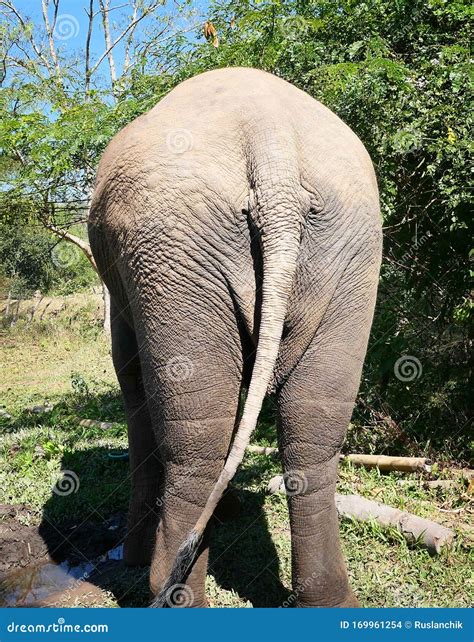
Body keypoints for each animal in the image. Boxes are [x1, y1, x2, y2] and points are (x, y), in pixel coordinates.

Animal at [88, 67, 382, 608]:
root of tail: (273, 147)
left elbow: (131, 374)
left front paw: (131, 558)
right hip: (349, 247)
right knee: (314, 432)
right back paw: (330, 601)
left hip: (173, 249)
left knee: (195, 441)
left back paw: (169, 593)